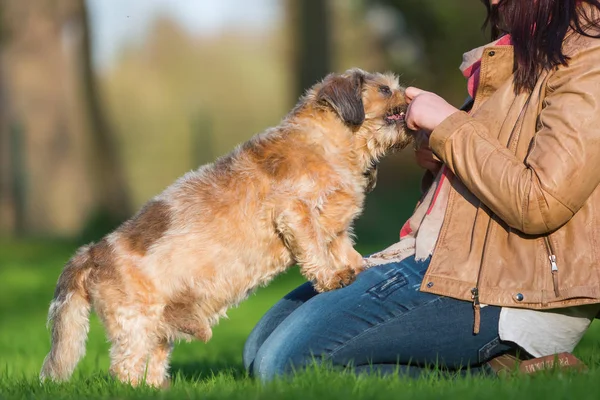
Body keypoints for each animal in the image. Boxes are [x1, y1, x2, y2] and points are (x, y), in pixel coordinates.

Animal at [38, 69, 412, 388]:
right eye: (385, 89)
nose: (410, 96)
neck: (329, 145)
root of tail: (91, 253)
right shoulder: (295, 213)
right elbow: (316, 250)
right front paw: (334, 279)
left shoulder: (335, 225)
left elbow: (341, 248)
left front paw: (357, 267)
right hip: (135, 324)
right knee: (125, 368)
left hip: (158, 331)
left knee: (151, 366)